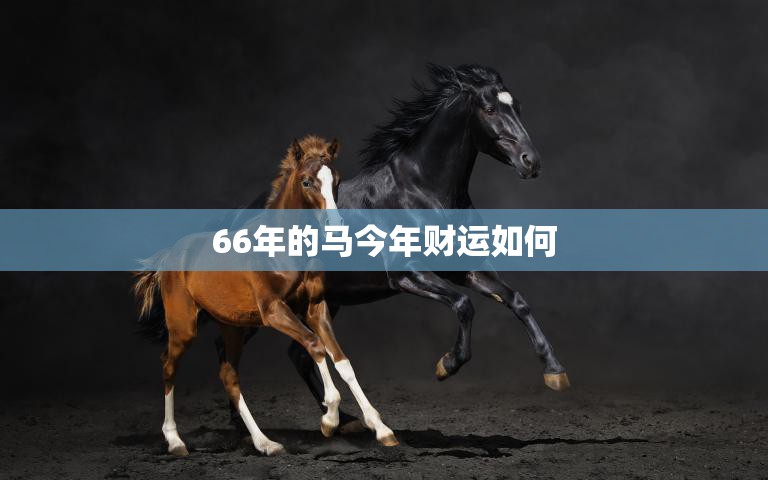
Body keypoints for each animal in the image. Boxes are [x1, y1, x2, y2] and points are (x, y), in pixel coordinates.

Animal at [134, 135, 398, 456]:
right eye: (307, 181)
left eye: (335, 180)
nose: (336, 227)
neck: (285, 247)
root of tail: (170, 254)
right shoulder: (273, 310)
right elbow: (315, 346)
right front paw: (329, 419)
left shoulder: (315, 307)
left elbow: (341, 360)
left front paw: (381, 428)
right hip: (184, 325)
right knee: (169, 365)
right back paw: (174, 441)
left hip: (232, 327)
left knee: (229, 375)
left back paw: (265, 443)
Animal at [217, 64, 570, 432]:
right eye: (489, 109)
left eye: (518, 107)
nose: (530, 162)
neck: (423, 190)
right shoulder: (407, 275)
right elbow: (463, 305)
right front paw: (447, 364)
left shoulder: (464, 268)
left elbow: (516, 300)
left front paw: (554, 372)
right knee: (227, 351)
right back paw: (241, 425)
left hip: (327, 301)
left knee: (297, 354)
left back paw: (342, 420)